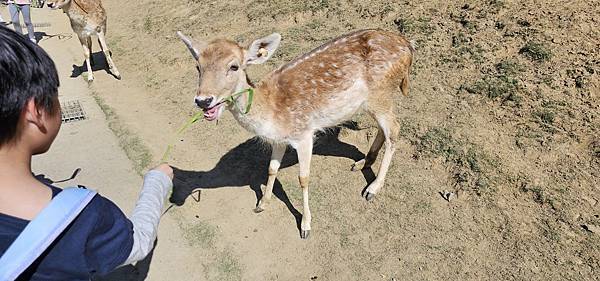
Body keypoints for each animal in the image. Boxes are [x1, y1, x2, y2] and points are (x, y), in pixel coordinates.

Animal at [176, 29, 414, 238]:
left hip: (380, 94)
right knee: (384, 129)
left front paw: (306, 225)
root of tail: (408, 46)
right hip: (374, 102)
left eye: (234, 66)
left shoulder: (304, 134)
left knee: (394, 129)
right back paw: (362, 162)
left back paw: (372, 188)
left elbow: (303, 178)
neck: (271, 114)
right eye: (198, 66)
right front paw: (262, 204)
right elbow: (271, 168)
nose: (203, 100)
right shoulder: (279, 141)